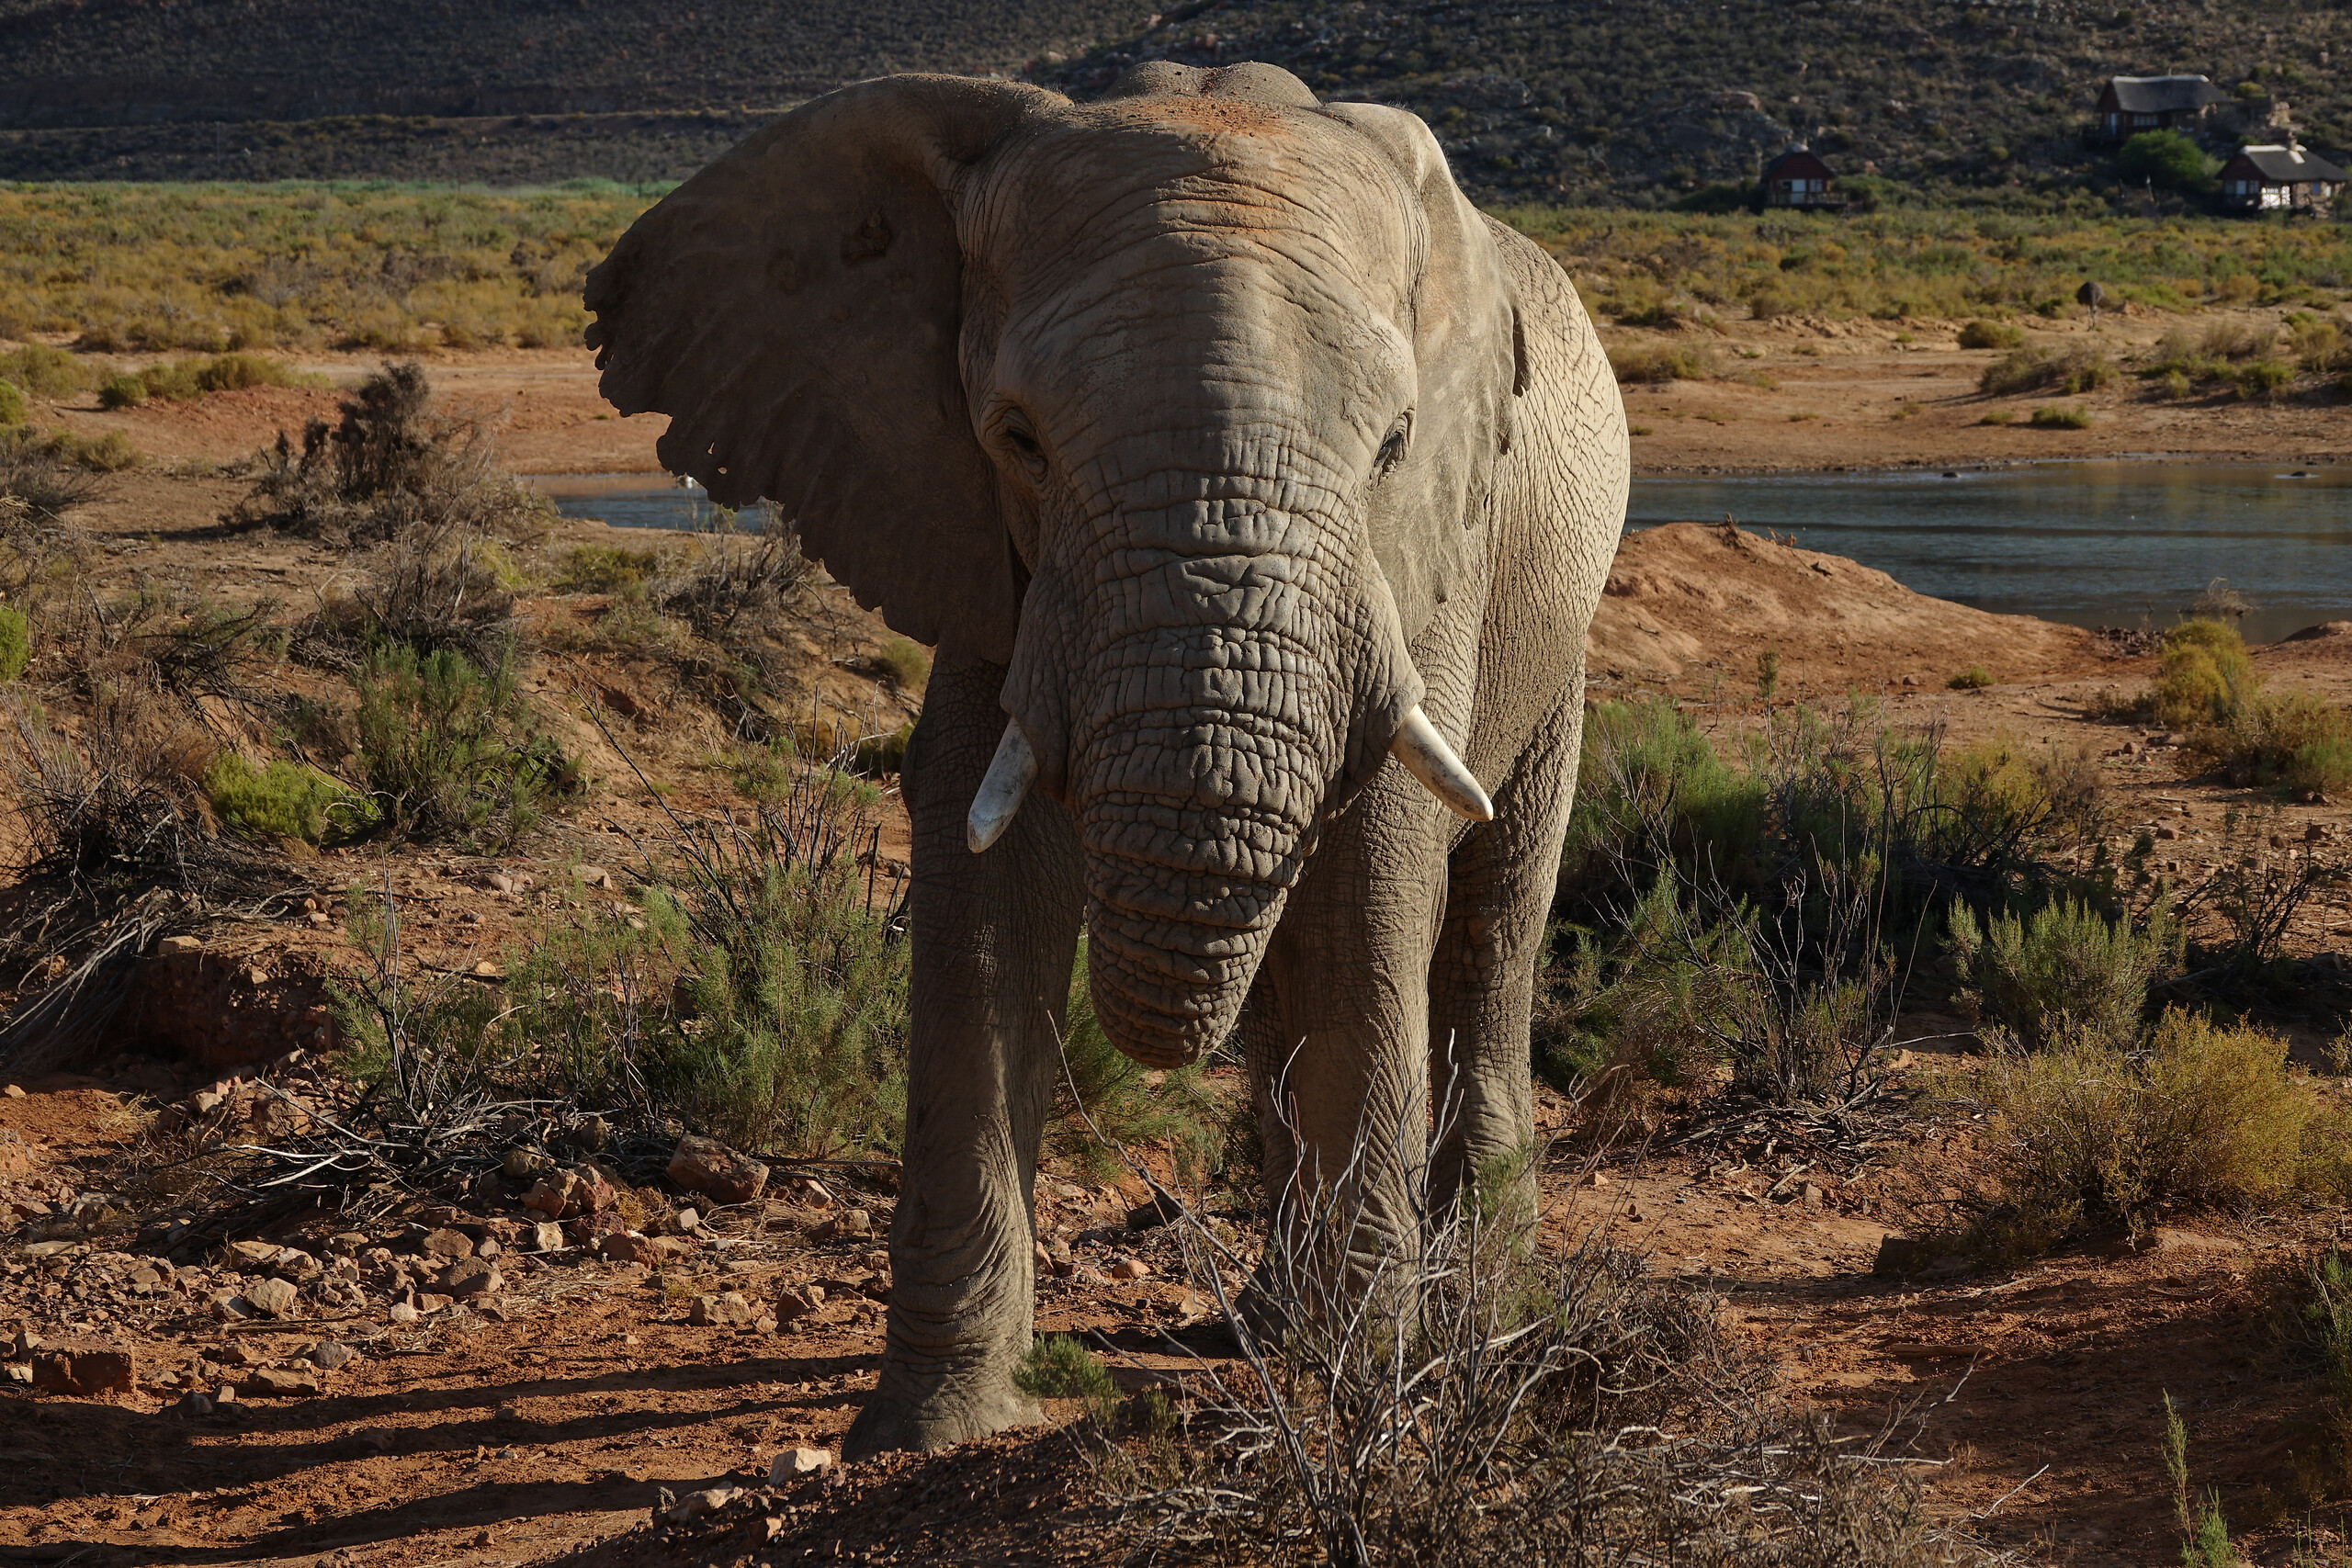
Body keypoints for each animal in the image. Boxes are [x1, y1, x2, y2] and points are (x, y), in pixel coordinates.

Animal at [583, 59, 1629, 1458]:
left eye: (1395, 444)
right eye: (1018, 437)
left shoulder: (1429, 558)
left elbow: (1377, 869)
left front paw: (1357, 1404)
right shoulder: (969, 527)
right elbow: (982, 863)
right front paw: (935, 1427)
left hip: (1557, 626)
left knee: (1491, 919)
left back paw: (1471, 1308)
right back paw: (1273, 1320)